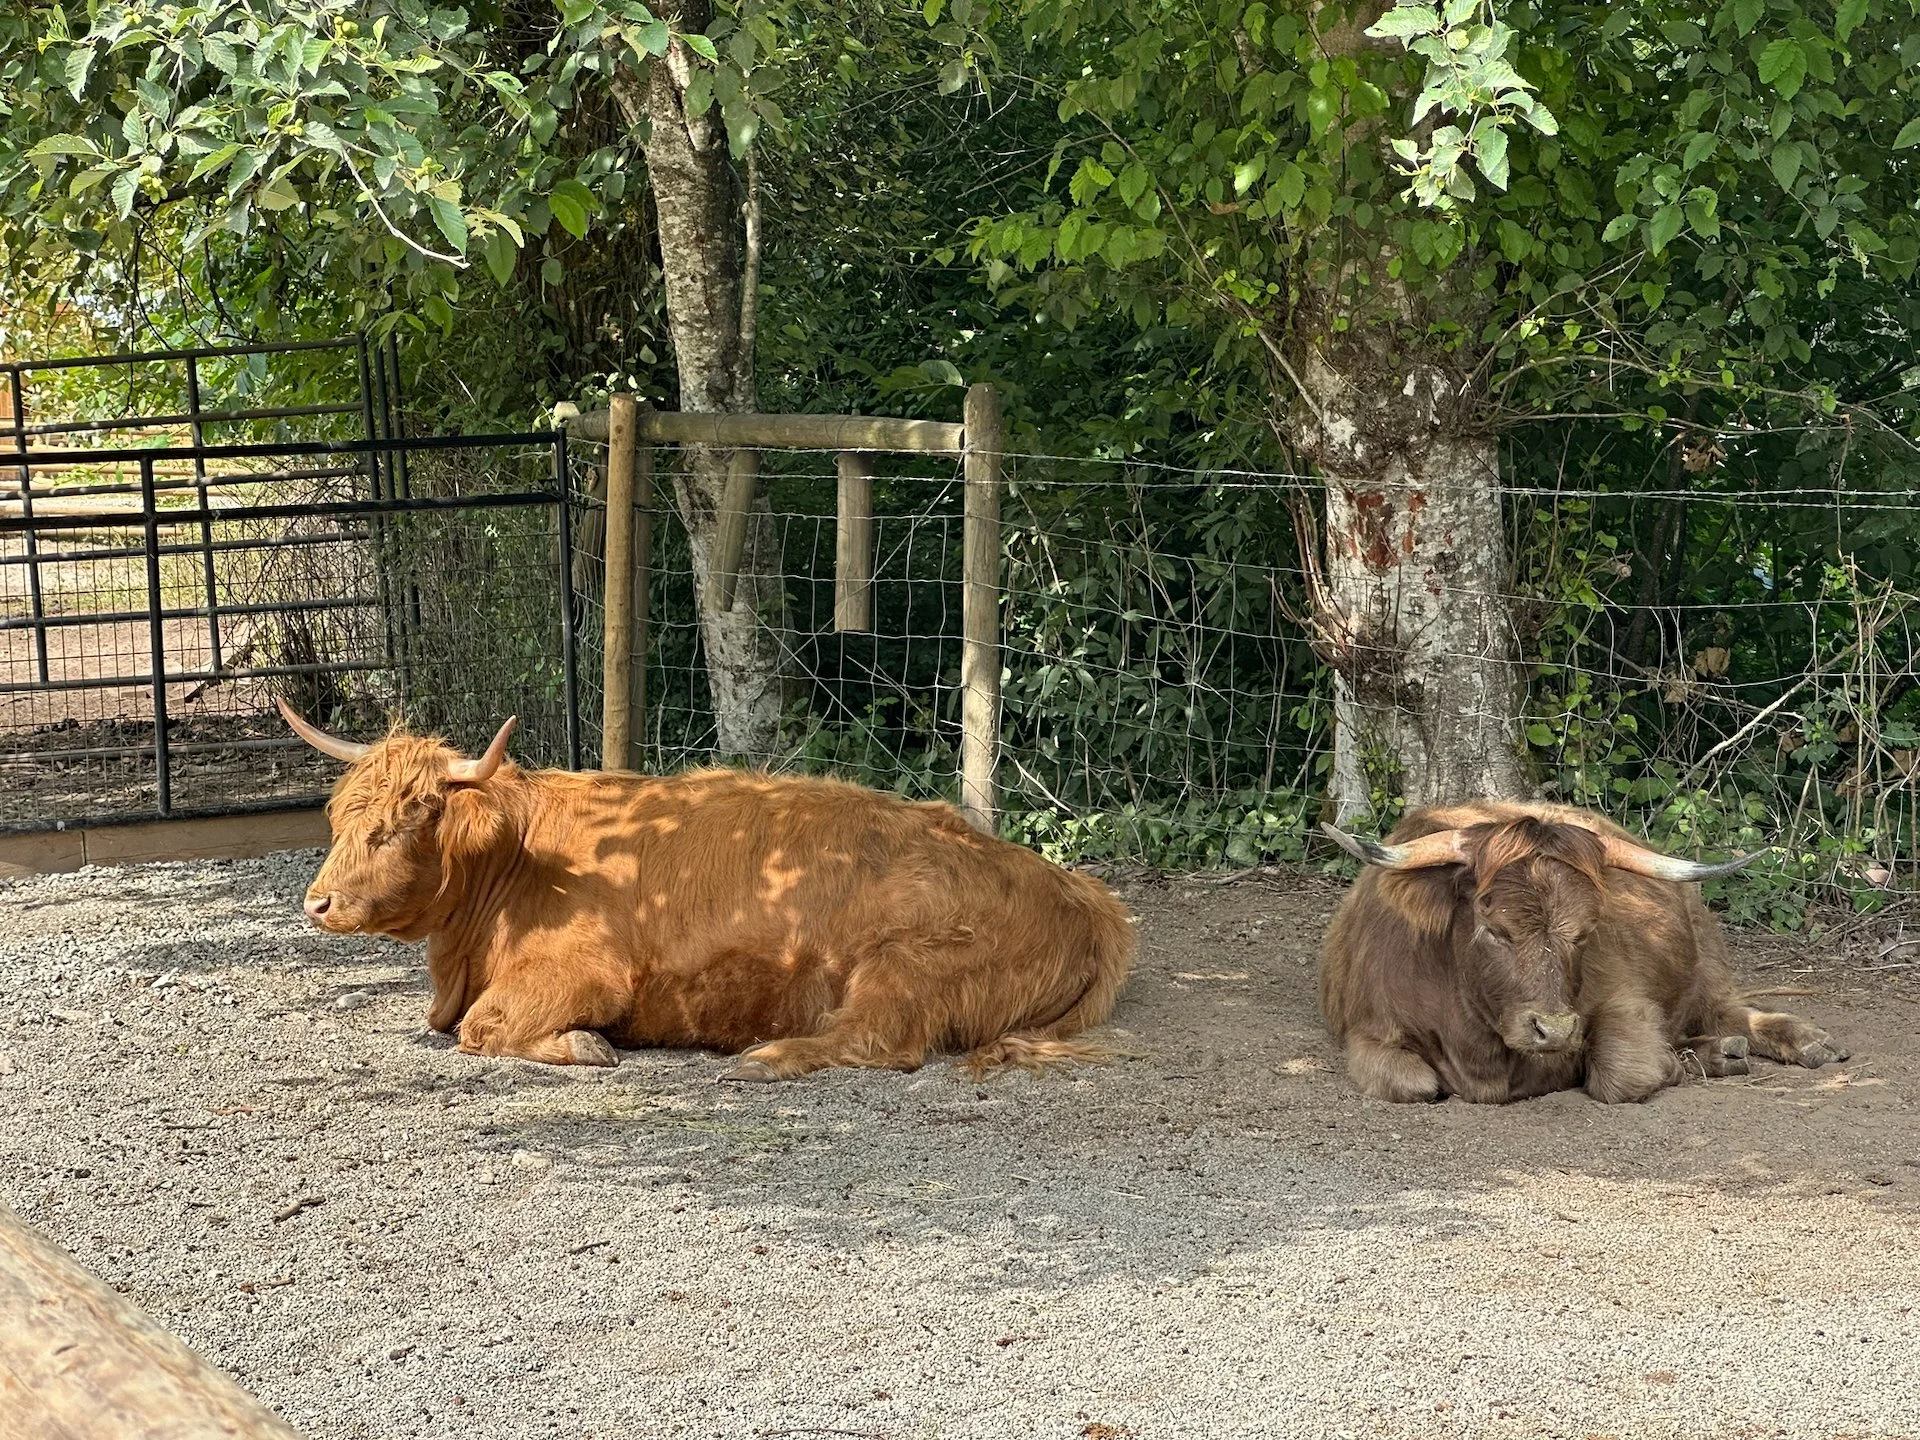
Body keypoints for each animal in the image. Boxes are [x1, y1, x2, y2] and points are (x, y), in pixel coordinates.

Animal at [278, 702, 1133, 1080]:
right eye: (342, 818)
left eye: (398, 826)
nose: (317, 903)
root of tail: (1088, 901)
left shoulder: (585, 974)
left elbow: (484, 1027)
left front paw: (584, 1046)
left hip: (903, 964)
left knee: (879, 1041)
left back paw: (766, 1055)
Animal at [1318, 800, 1849, 1104]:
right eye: (1493, 929)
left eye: (1585, 932)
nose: (1554, 1029)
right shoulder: (1368, 1030)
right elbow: (1412, 1083)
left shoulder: (1625, 1001)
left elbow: (1625, 1073)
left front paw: (1671, 1066)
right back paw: (1720, 1053)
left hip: (1709, 964)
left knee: (1733, 1014)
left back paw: (1805, 1042)